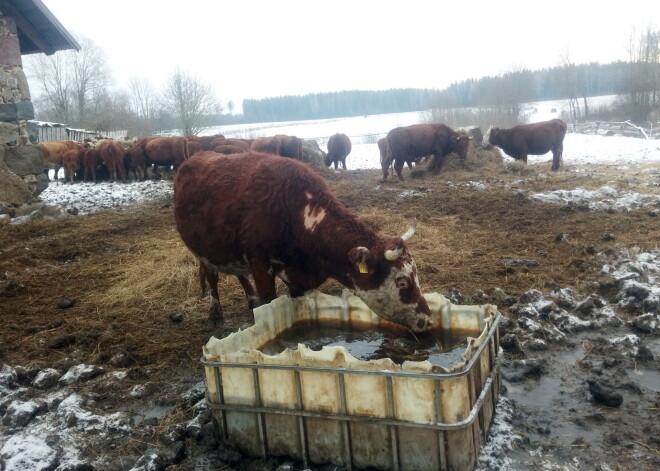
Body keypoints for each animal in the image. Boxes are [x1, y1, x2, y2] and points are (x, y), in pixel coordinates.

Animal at [175, 151, 434, 332]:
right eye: (402, 282)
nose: (428, 319)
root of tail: (195, 157)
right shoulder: (259, 263)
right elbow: (269, 303)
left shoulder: (297, 278)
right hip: (202, 251)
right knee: (211, 277)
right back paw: (216, 312)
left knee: (239, 274)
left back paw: (250, 300)